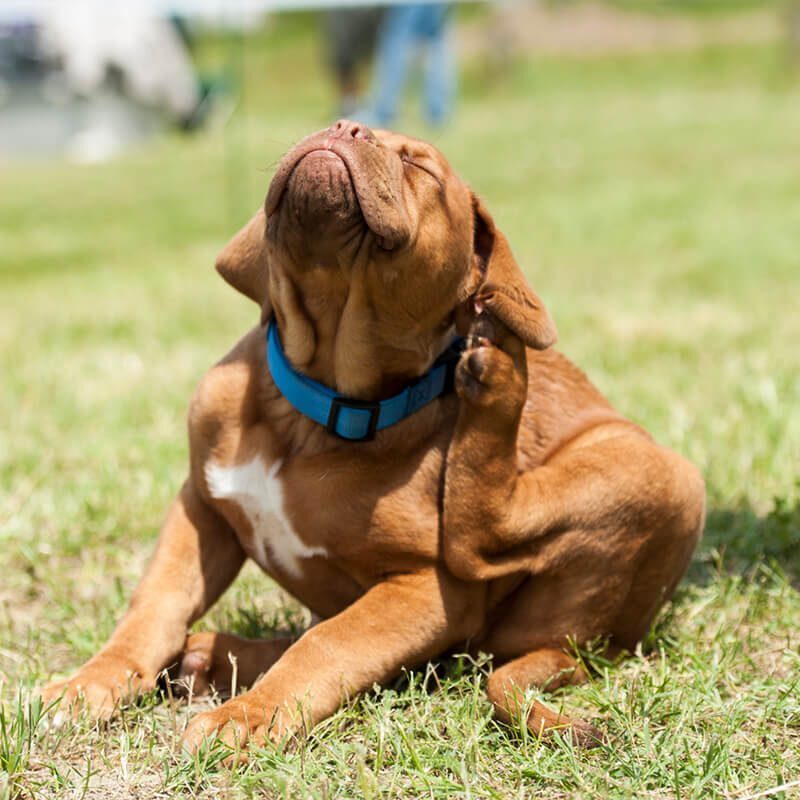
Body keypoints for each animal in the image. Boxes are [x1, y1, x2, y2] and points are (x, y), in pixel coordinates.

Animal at [42, 120, 708, 752]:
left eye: (420, 166)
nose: (344, 128)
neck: (314, 408)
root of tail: (585, 646)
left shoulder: (428, 591)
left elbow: (330, 645)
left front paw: (247, 718)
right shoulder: (201, 507)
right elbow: (154, 607)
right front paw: (89, 683)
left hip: (664, 476)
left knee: (481, 541)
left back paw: (500, 375)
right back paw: (213, 656)